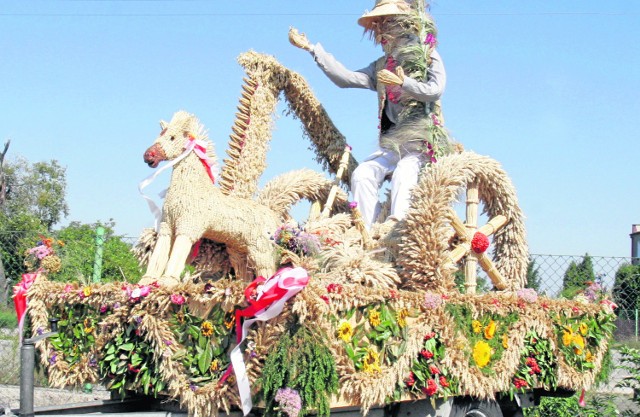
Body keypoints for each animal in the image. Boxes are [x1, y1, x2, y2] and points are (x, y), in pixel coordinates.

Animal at [140, 110, 280, 286]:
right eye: (159, 135)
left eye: (172, 137)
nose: (148, 156)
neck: (191, 187)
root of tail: (274, 218)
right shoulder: (167, 225)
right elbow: (160, 252)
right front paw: (146, 281)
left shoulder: (188, 227)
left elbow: (177, 255)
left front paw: (167, 281)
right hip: (239, 250)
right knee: (245, 272)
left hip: (262, 249)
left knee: (268, 270)